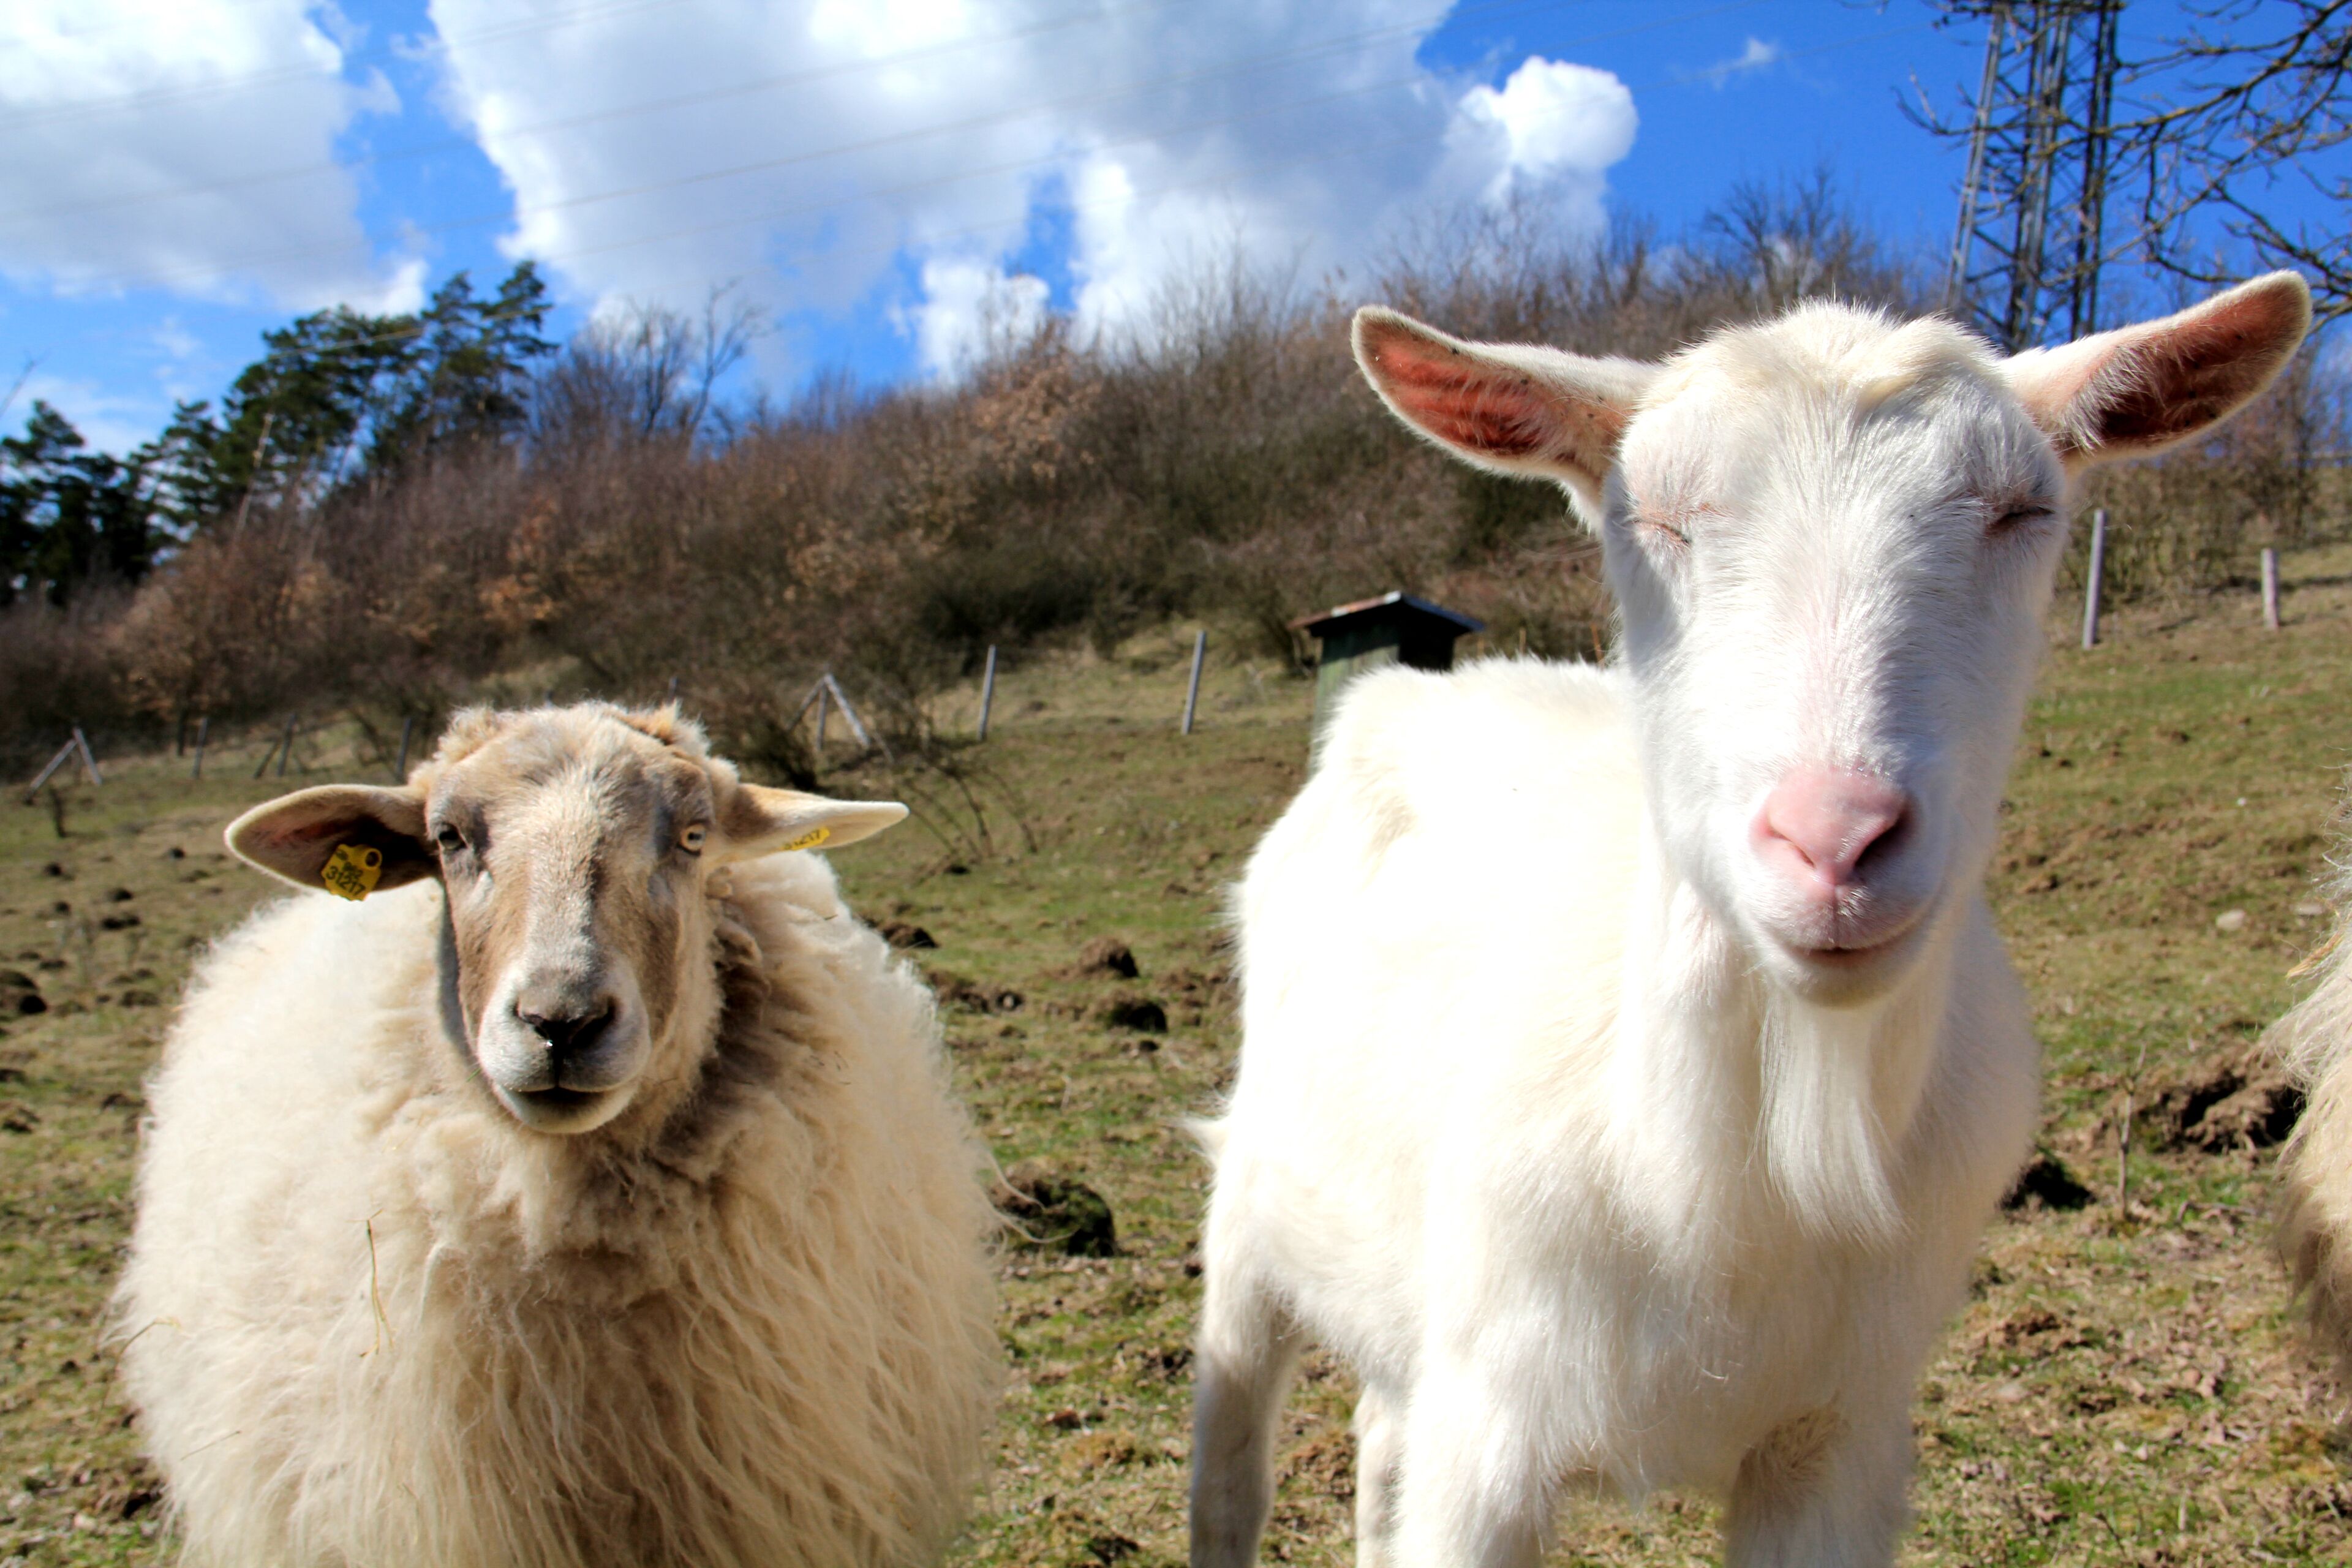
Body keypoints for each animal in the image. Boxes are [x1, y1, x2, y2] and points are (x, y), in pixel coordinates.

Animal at [1191, 274, 2312, 1568]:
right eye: (1653, 516)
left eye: (2024, 510)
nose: (1837, 839)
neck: (1732, 1180)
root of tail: (1407, 692)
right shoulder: (1487, 1421)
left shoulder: (1838, 1433)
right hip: (1254, 1216)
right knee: (1234, 1461)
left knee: (1378, 1442)